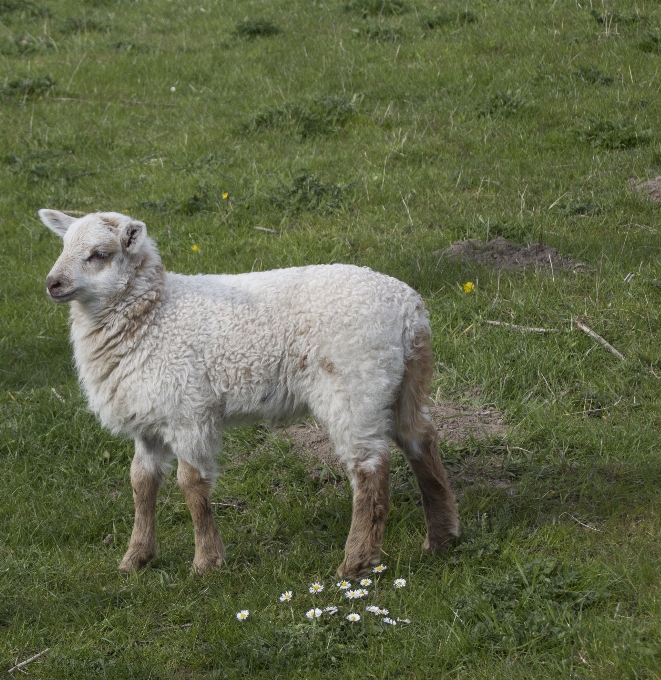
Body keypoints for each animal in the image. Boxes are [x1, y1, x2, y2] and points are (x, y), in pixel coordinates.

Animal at [38, 210, 456, 576]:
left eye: (100, 254)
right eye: (64, 245)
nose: (52, 283)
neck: (154, 313)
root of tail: (409, 309)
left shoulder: (188, 410)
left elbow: (191, 483)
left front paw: (206, 562)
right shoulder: (149, 417)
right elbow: (141, 483)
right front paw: (135, 558)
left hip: (355, 385)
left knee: (370, 467)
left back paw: (356, 562)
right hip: (403, 380)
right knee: (421, 438)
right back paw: (441, 538)